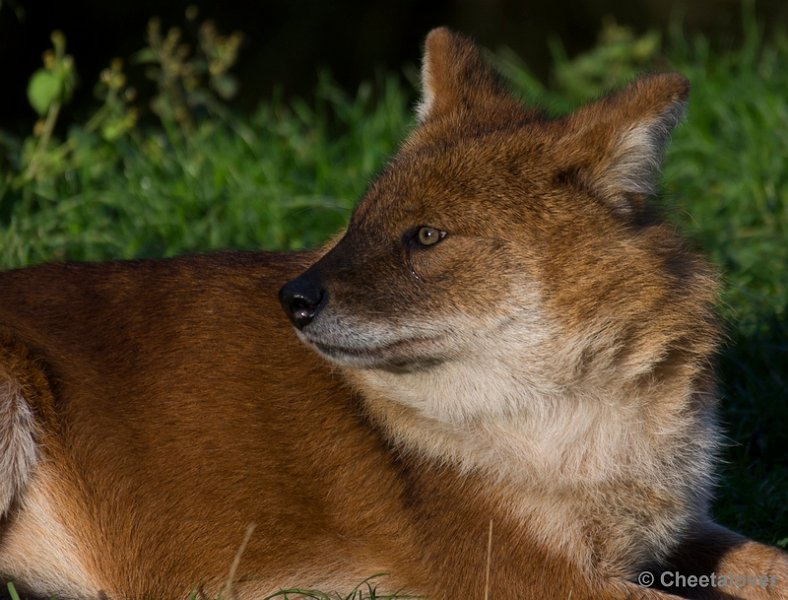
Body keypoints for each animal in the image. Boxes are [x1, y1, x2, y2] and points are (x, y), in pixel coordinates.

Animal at [1, 27, 788, 600]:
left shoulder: (678, 530)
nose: (293, 297)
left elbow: (773, 561)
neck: (583, 416)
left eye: (426, 235)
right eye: (359, 224)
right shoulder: (524, 574)